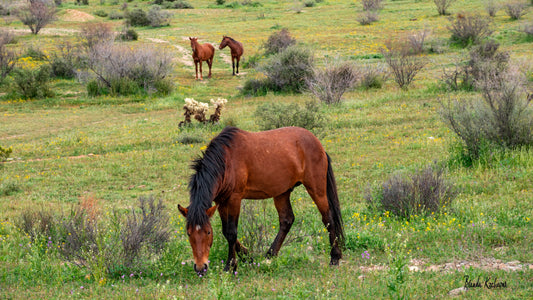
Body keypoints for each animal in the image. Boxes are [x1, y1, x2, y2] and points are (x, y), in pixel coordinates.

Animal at [178, 125, 344, 276]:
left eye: (207, 232)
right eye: (188, 233)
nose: (201, 268)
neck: (225, 160)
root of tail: (319, 145)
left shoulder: (234, 199)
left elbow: (231, 232)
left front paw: (230, 266)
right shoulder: (221, 202)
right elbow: (226, 232)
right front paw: (247, 257)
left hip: (316, 189)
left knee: (328, 219)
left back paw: (335, 257)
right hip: (282, 192)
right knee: (287, 220)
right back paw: (270, 254)